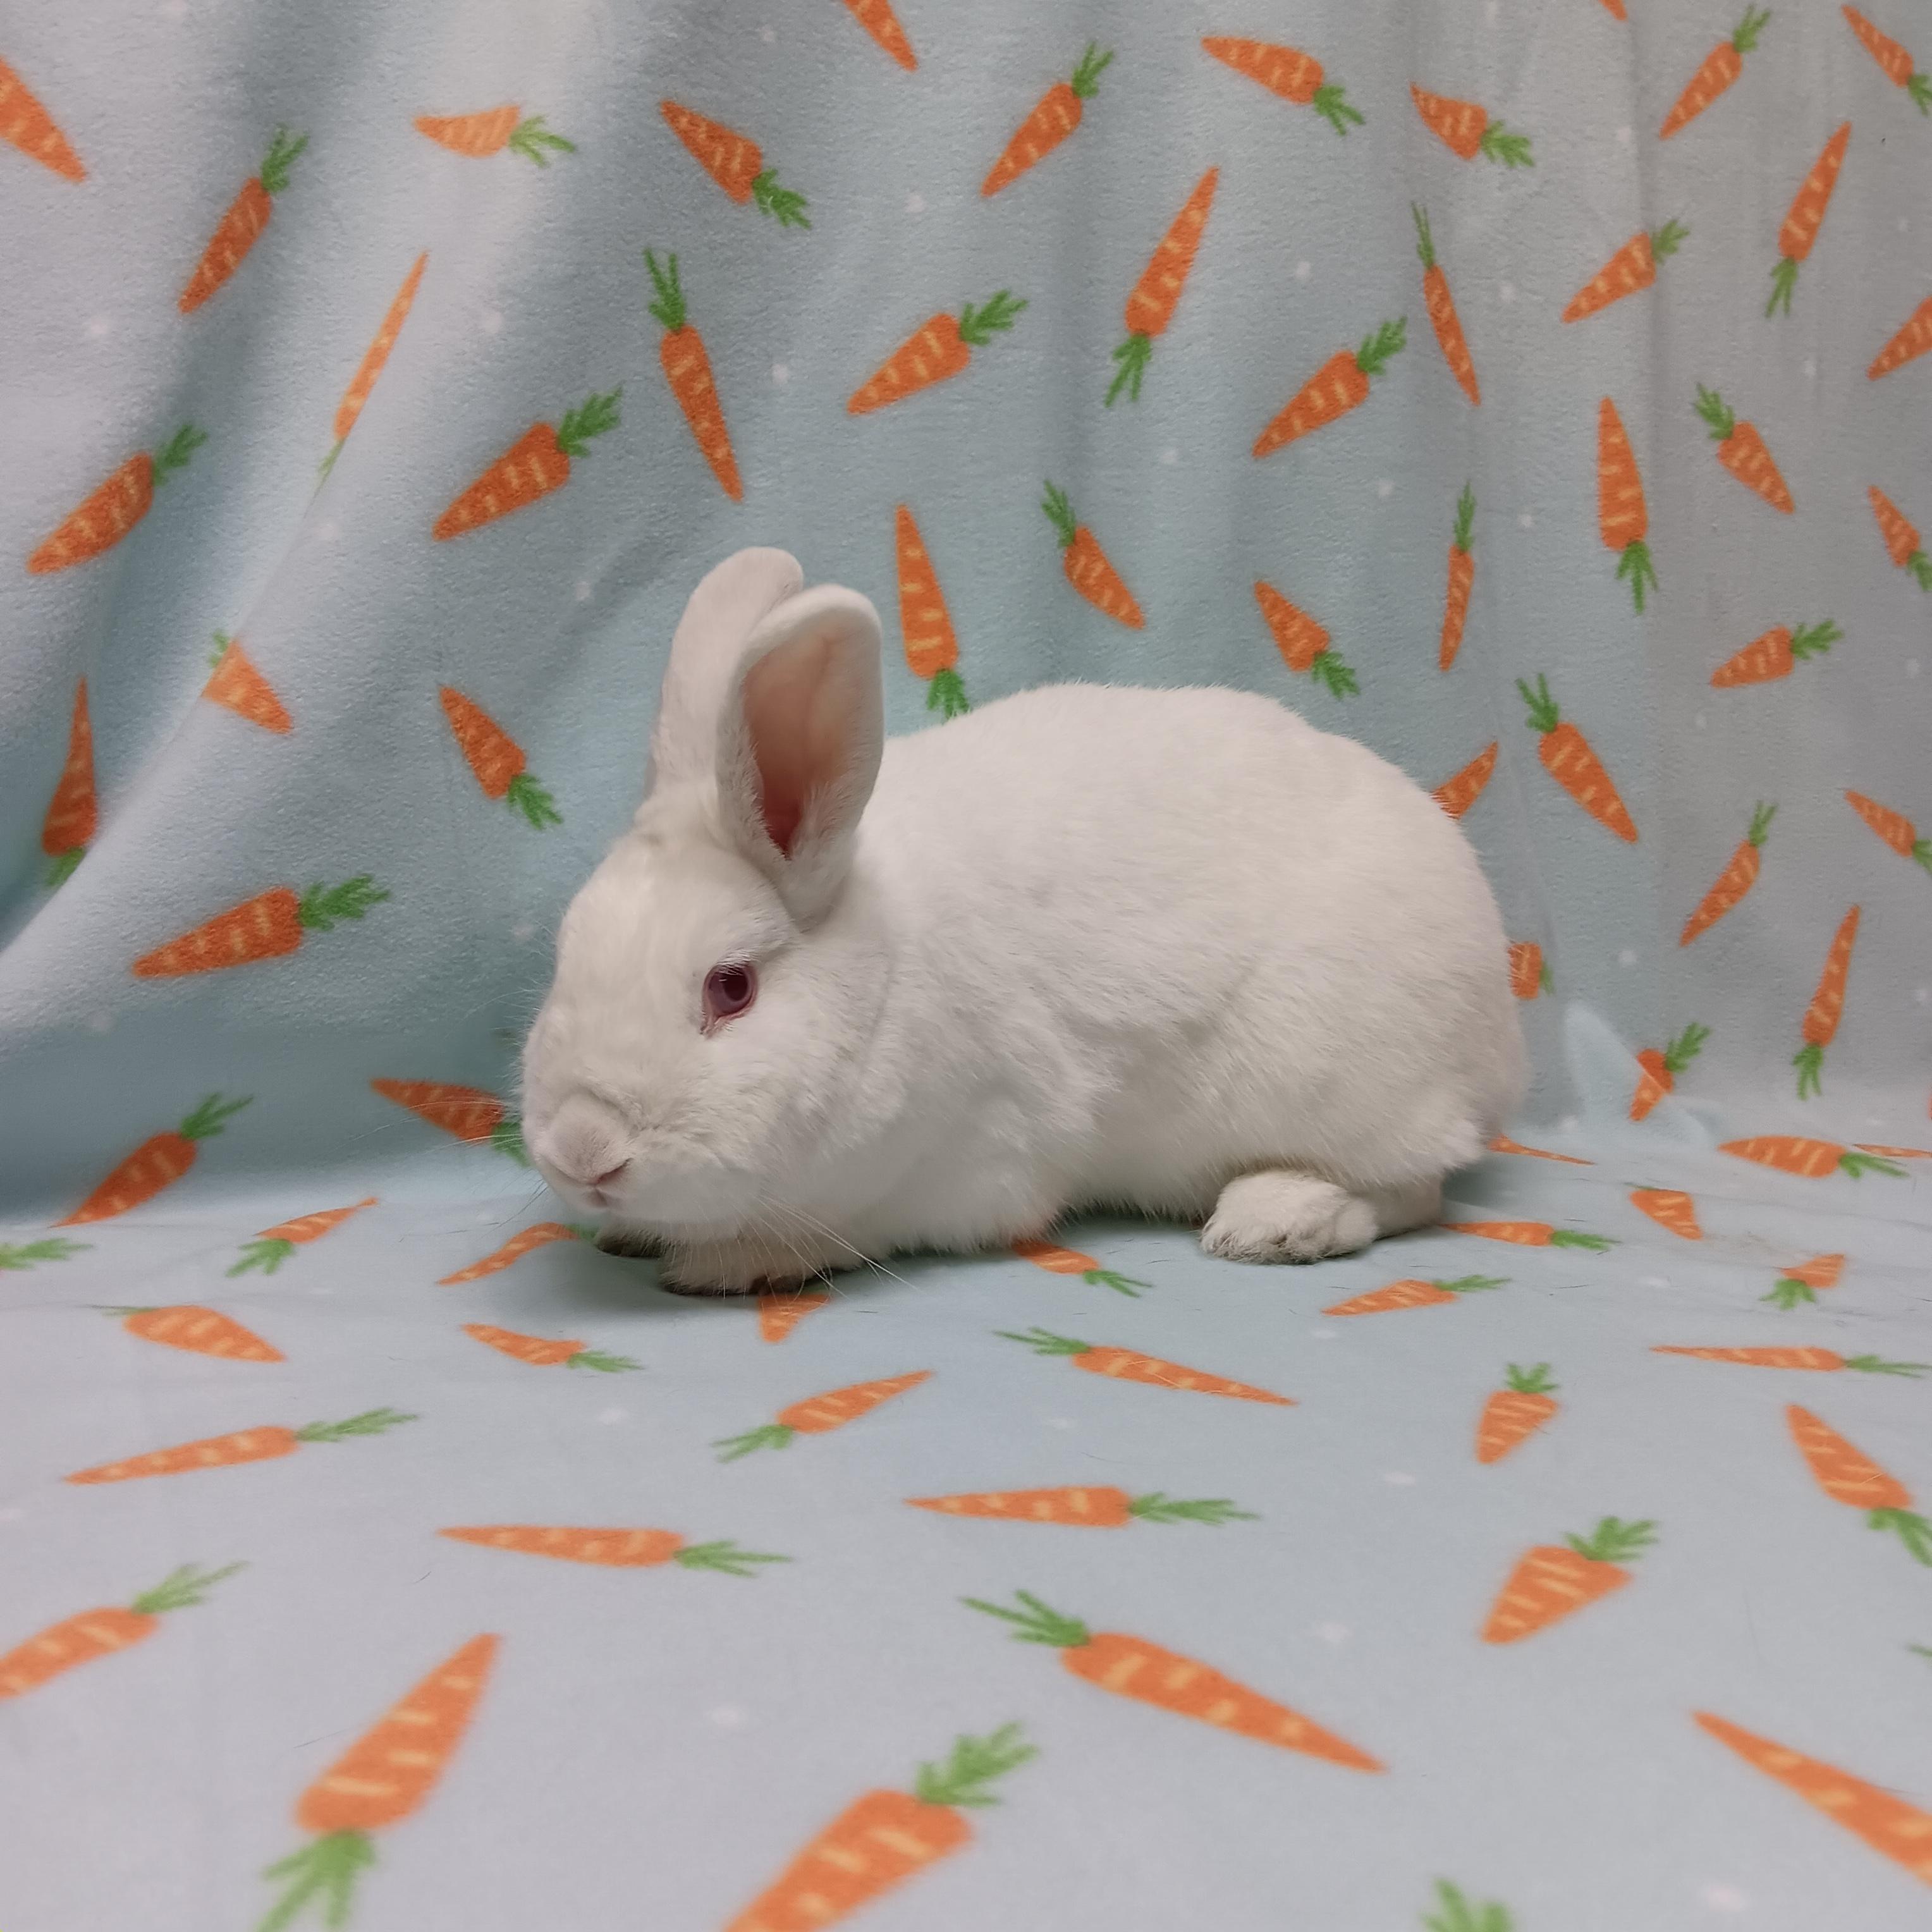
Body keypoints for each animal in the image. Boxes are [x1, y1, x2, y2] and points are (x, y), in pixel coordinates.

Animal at [520, 547, 1527, 1295]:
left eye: (730, 989)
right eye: (565, 954)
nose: (582, 1150)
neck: (885, 965)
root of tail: (1497, 1032)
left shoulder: (958, 1175)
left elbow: (832, 1232)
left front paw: (723, 1263)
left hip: (1343, 1086)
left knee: (1414, 1191)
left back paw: (1273, 1220)